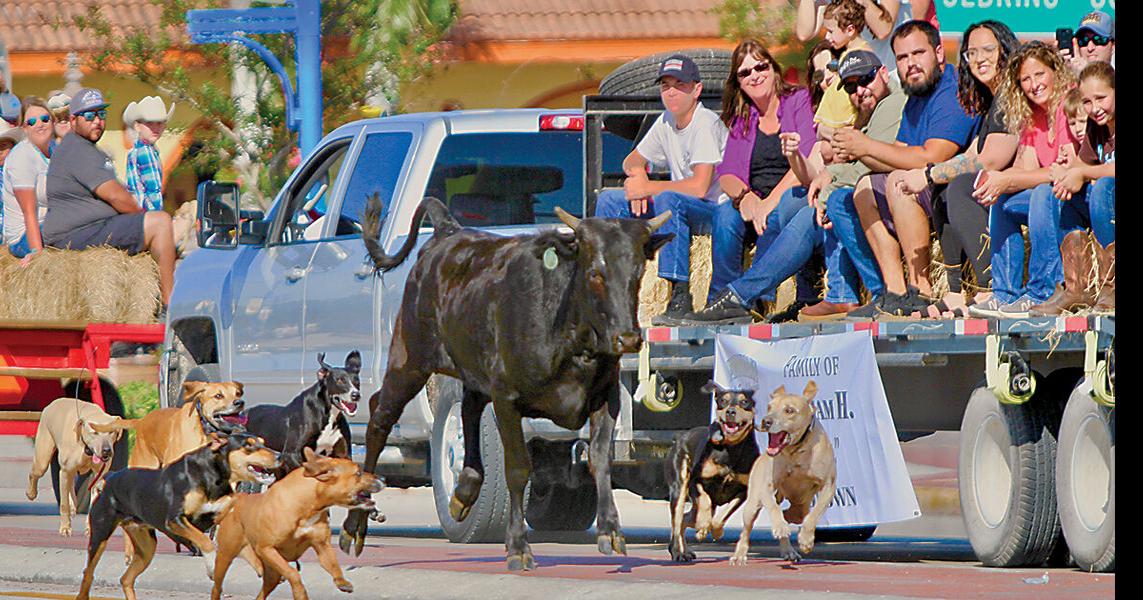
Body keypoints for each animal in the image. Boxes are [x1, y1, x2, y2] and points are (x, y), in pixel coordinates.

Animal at [338, 194, 672, 570]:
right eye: (595, 273)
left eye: (638, 273)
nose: (627, 338)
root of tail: (449, 231)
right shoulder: (507, 398)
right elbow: (518, 468)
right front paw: (517, 546)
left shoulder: (606, 396)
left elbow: (600, 460)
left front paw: (611, 530)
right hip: (409, 358)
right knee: (380, 418)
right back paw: (353, 527)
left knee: (468, 410)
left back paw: (464, 491)